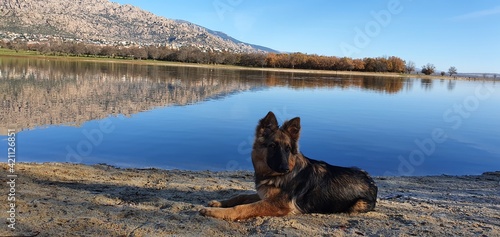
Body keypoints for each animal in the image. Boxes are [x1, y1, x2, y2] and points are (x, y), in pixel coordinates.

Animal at [199, 111, 376, 220]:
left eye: (288, 149)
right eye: (272, 146)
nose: (285, 169)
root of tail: (372, 182)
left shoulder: (278, 204)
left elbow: (243, 207)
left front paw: (214, 212)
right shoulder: (266, 195)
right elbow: (241, 196)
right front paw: (219, 203)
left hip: (357, 206)